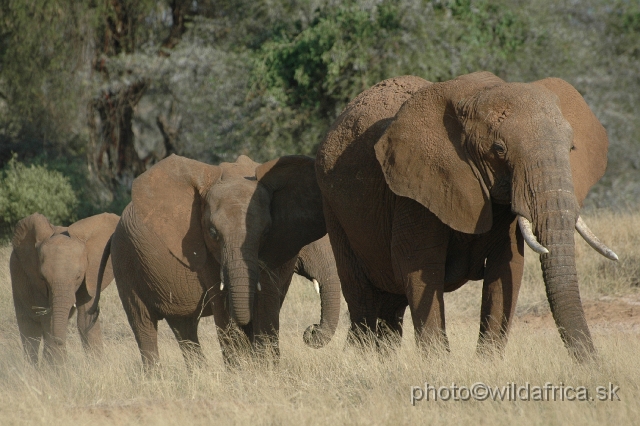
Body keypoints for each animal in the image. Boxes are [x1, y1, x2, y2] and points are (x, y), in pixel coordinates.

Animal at [10, 211, 119, 364]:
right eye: (43, 278)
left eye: (78, 276)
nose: (60, 341)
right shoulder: (37, 284)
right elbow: (48, 320)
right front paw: (58, 369)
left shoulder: (89, 276)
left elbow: (84, 320)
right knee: (30, 330)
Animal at [318, 71, 616, 362]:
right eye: (499, 149)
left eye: (571, 149)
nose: (595, 364)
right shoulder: (415, 189)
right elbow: (419, 265)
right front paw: (438, 365)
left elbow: (507, 265)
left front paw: (487, 364)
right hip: (335, 212)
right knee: (361, 294)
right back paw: (362, 357)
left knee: (391, 303)